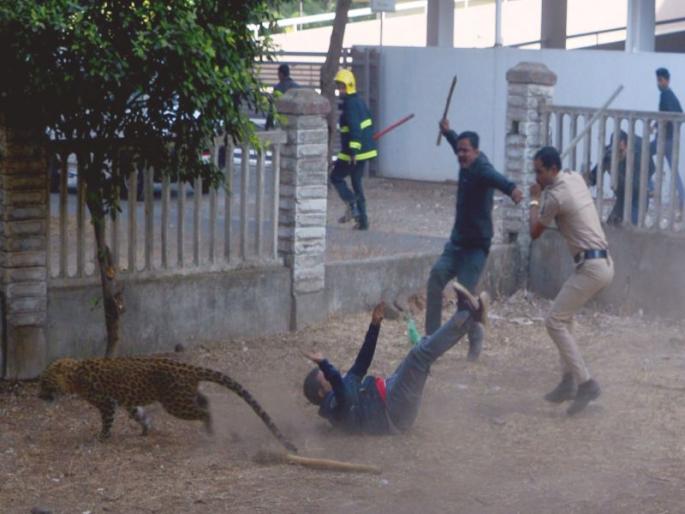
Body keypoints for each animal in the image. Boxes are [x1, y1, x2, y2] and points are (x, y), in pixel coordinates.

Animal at [38, 356, 297, 453]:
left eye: (44, 382)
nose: (39, 396)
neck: (73, 374)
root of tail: (189, 367)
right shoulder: (126, 401)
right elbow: (138, 414)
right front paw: (145, 429)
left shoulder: (107, 403)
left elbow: (106, 422)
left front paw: (101, 438)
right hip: (184, 396)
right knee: (206, 400)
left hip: (175, 404)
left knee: (204, 411)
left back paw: (209, 429)